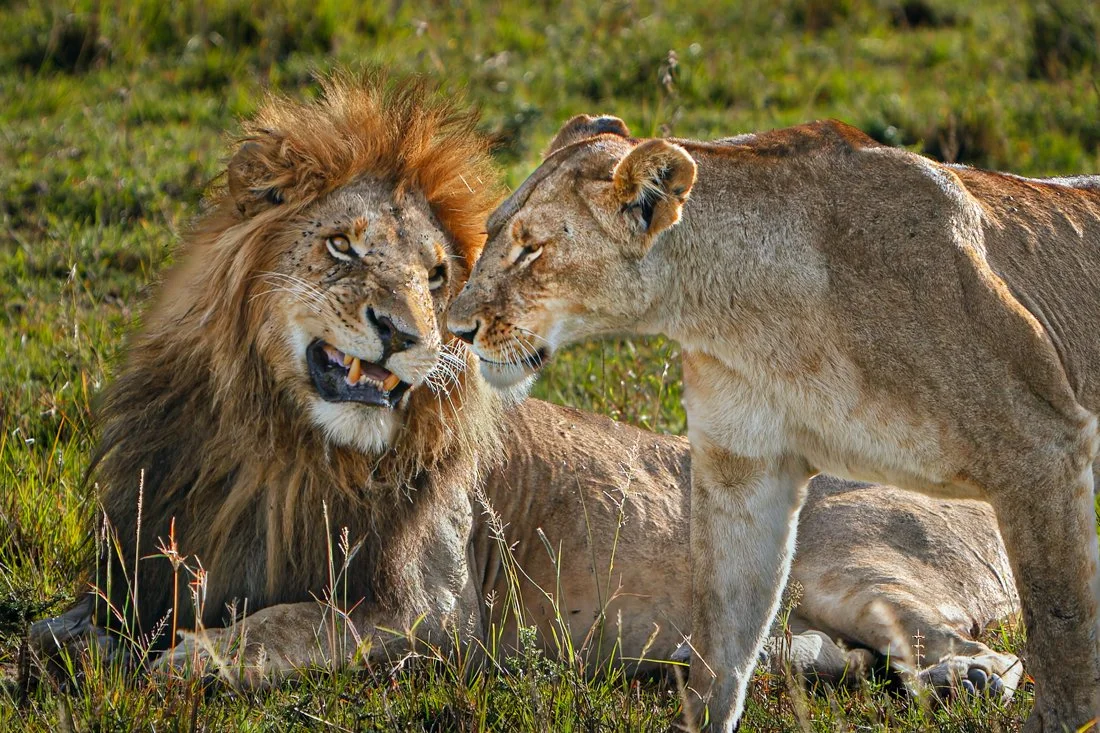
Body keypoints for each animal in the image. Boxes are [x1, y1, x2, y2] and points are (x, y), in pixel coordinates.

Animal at [30, 83, 1019, 710]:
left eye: (434, 275)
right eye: (343, 246)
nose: (407, 335)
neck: (280, 445)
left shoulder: (432, 612)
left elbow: (289, 622)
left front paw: (189, 660)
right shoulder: (143, 567)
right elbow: (53, 629)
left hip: (851, 567)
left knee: (978, 651)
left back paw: (964, 681)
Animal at [447, 114, 1100, 731]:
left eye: (532, 248)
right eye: (492, 231)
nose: (457, 327)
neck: (753, 317)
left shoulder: (1040, 448)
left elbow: (1062, 631)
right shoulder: (745, 472)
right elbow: (722, 645)